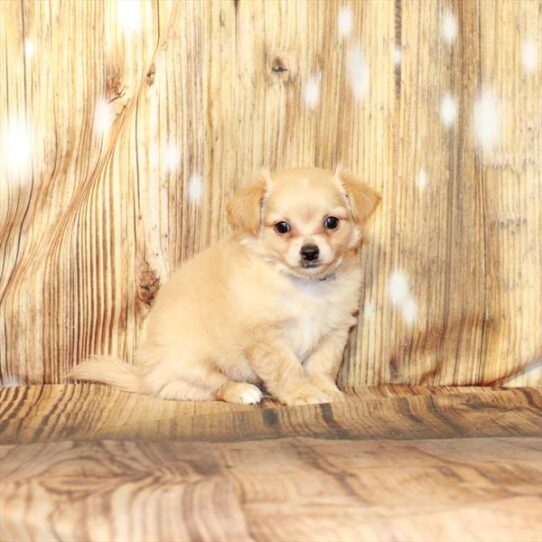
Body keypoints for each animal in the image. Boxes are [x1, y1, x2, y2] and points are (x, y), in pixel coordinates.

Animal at [69, 168, 382, 406]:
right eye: (282, 227)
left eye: (331, 222)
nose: (309, 252)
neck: (304, 286)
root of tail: (143, 375)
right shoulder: (266, 336)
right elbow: (287, 369)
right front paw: (302, 394)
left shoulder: (334, 332)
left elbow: (322, 366)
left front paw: (326, 390)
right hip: (191, 363)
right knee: (203, 387)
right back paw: (244, 391)